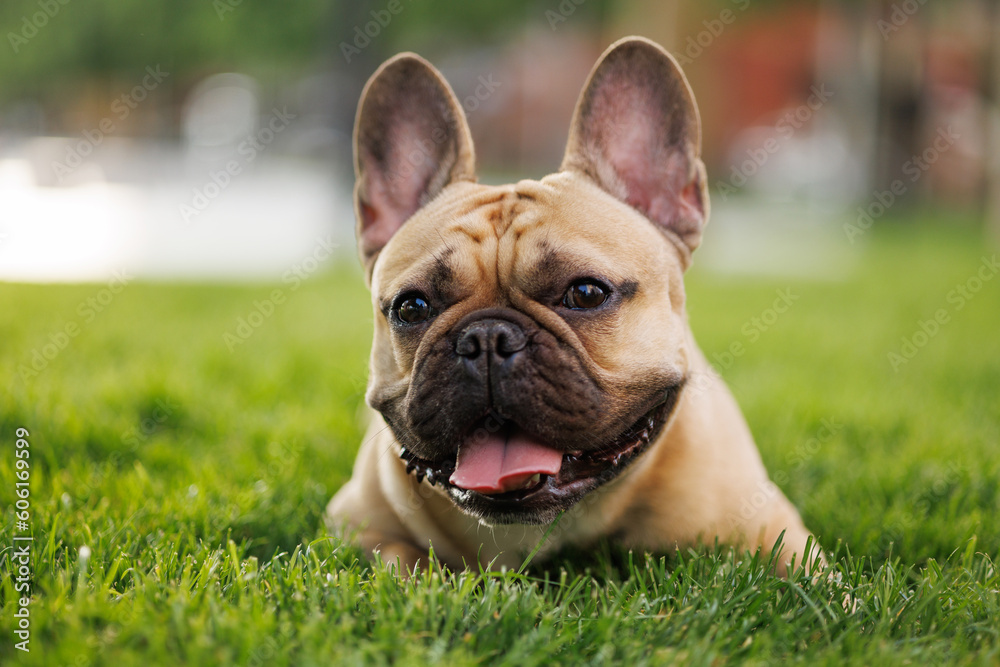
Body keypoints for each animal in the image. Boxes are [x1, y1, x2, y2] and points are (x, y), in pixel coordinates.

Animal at [328, 36, 820, 576]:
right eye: (412, 307)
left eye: (586, 294)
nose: (486, 338)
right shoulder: (352, 524)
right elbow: (401, 562)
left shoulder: (770, 527)